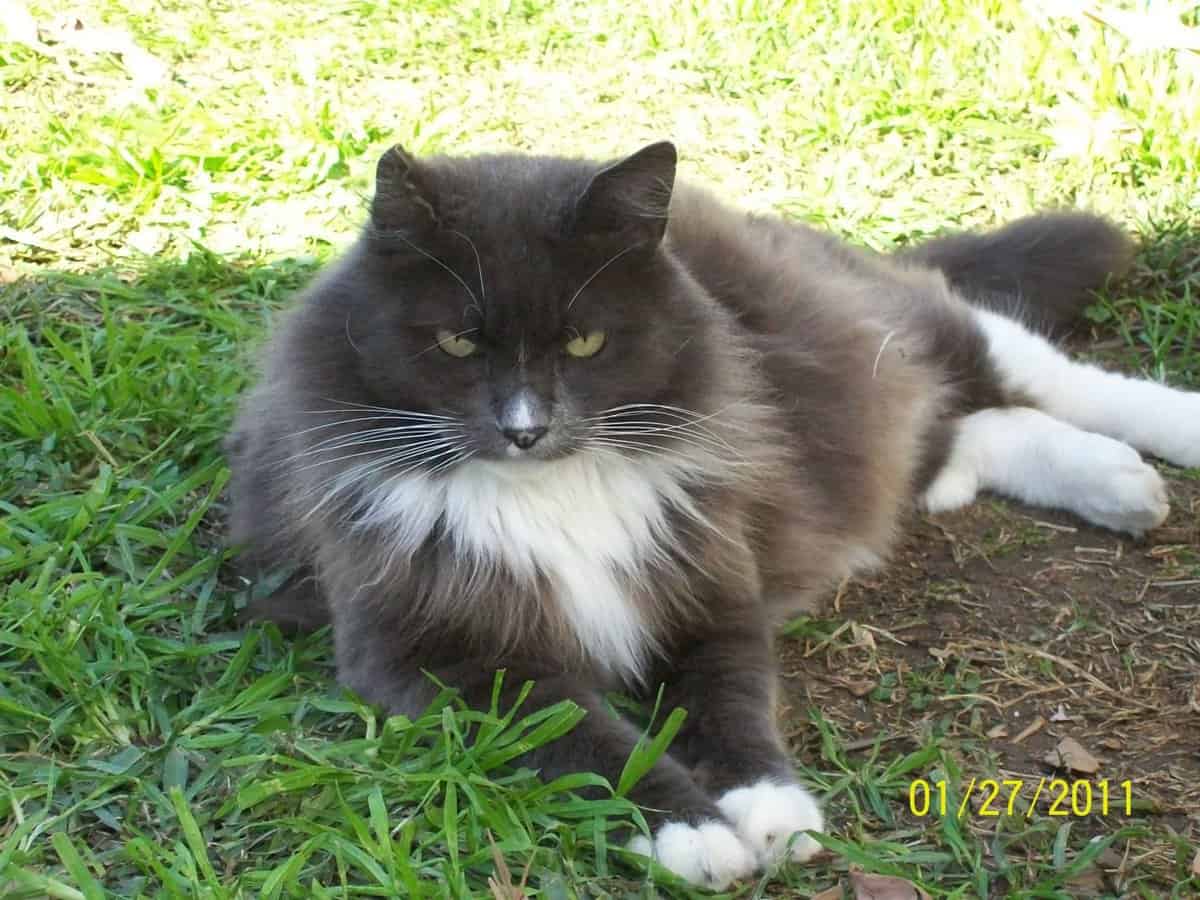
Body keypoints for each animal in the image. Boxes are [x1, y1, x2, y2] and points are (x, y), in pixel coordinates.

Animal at [226, 144, 1200, 892]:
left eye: (585, 342)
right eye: (458, 342)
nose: (525, 428)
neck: (551, 491)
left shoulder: (710, 591)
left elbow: (730, 706)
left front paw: (769, 813)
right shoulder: (438, 659)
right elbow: (589, 741)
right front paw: (695, 836)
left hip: (889, 325)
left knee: (1027, 365)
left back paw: (1157, 452)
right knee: (970, 437)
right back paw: (1116, 484)